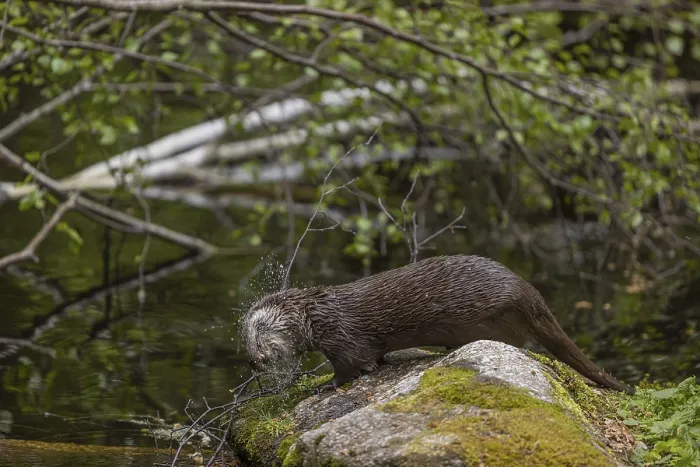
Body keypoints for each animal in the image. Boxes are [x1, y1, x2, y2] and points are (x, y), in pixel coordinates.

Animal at [242, 254, 634, 394]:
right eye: (243, 346)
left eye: (257, 339)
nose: (253, 362)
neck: (317, 315)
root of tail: (528, 291)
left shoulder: (342, 338)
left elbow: (350, 365)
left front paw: (323, 387)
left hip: (499, 317)